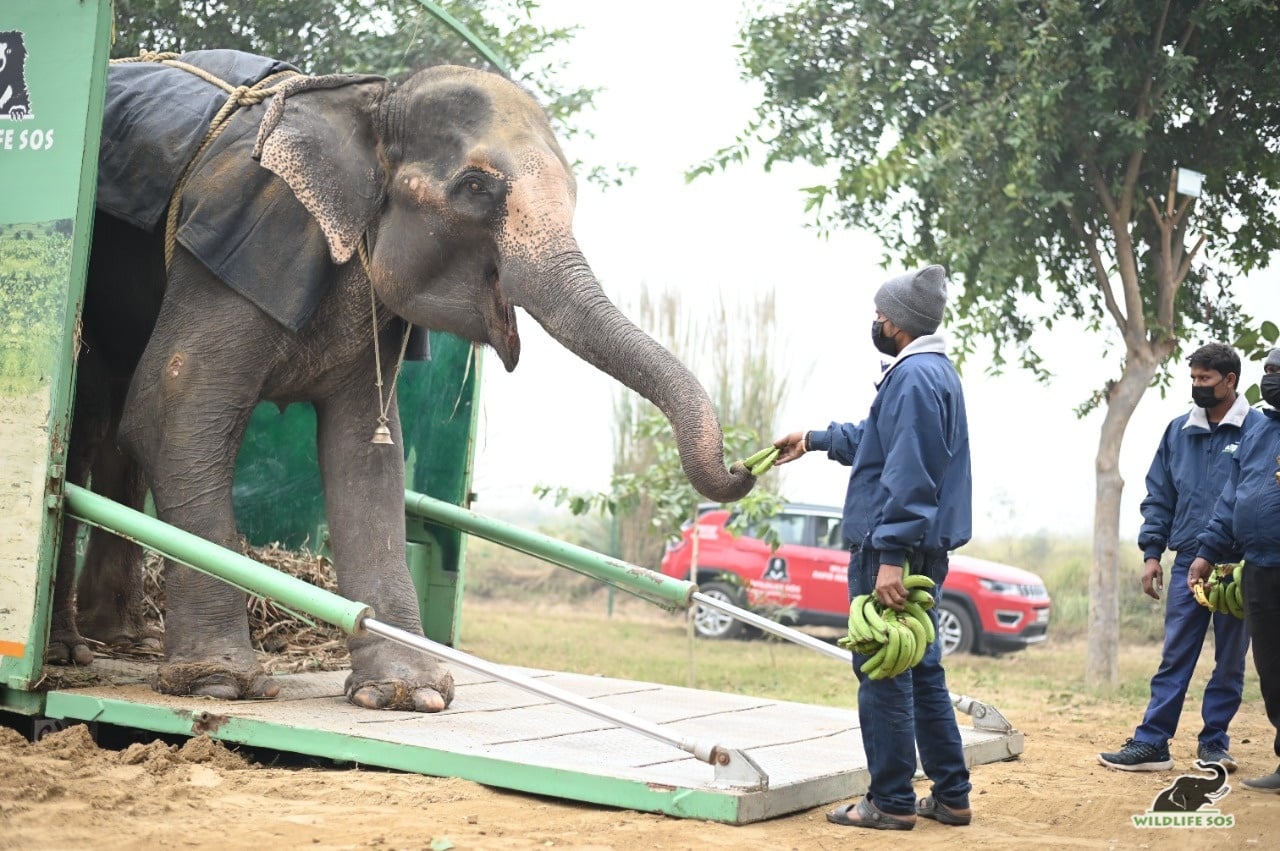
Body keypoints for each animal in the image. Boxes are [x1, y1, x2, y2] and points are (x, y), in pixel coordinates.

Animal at [45, 49, 752, 706]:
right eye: (476, 188)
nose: (746, 465)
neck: (373, 105)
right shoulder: (249, 234)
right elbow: (175, 408)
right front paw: (220, 685)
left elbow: (365, 454)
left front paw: (409, 695)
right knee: (93, 427)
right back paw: (71, 651)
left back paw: (119, 640)